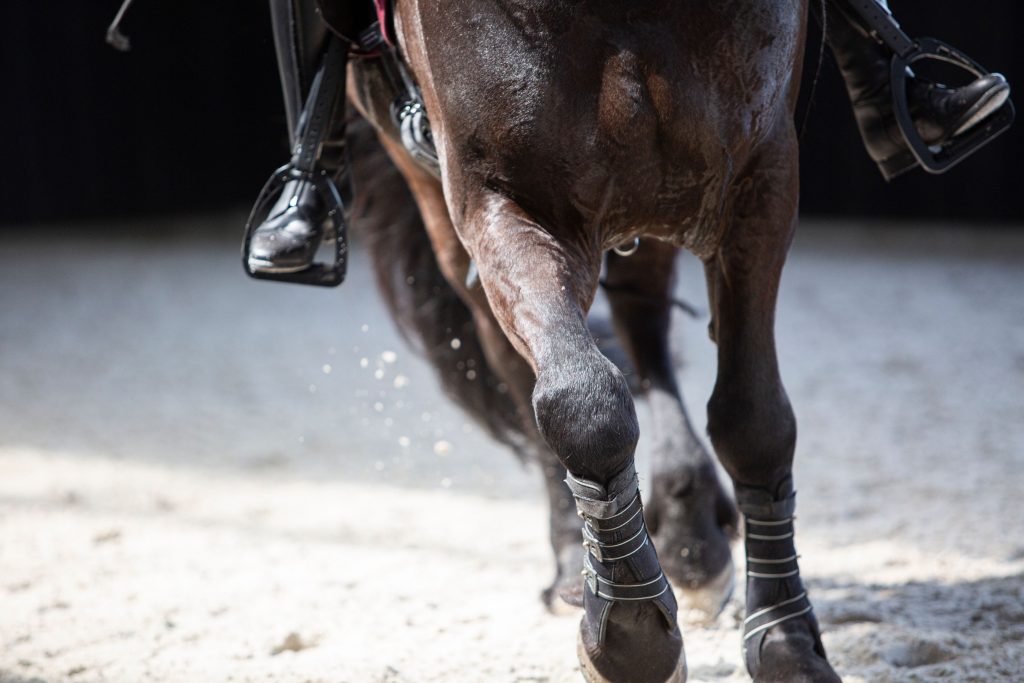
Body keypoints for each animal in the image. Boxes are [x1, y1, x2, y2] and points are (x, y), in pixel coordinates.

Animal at [340, 0, 838, 680]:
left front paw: (786, 639)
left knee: (644, 327)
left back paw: (690, 537)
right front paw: (632, 635)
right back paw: (584, 570)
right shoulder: (503, 201)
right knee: (525, 365)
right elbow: (583, 407)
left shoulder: (762, 176)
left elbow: (754, 420)